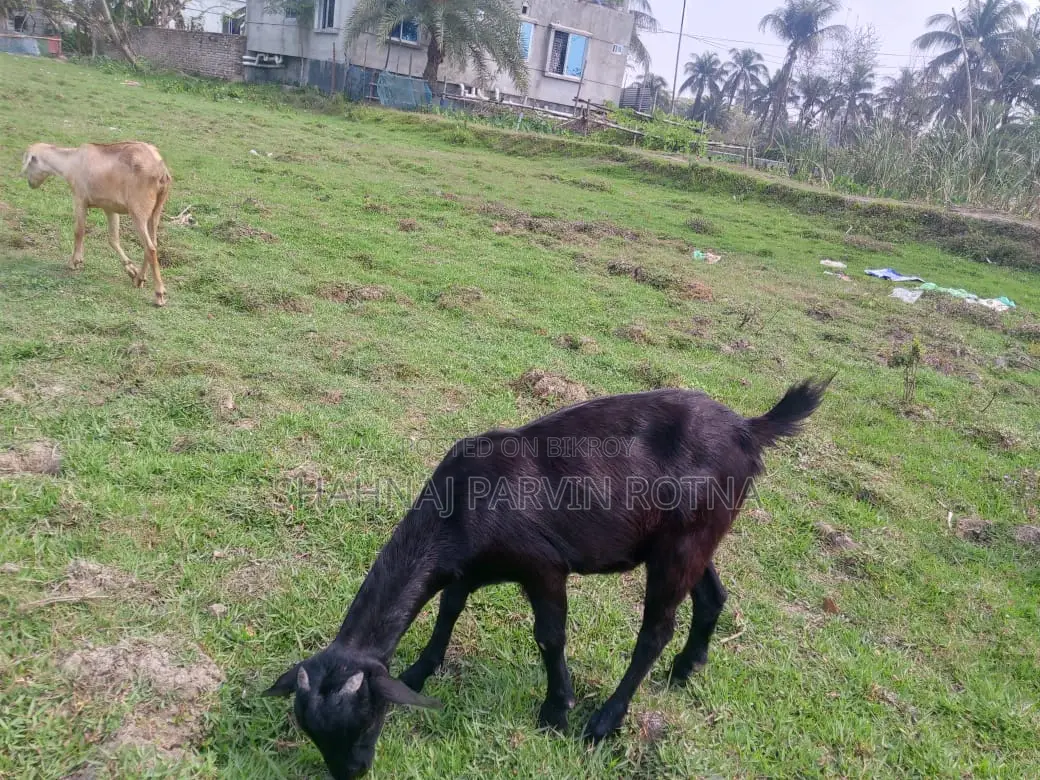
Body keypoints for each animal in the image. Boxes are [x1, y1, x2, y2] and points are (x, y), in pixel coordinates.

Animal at [21, 141, 172, 307]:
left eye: (29, 163)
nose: (30, 184)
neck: (70, 161)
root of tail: (161, 170)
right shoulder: (110, 208)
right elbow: (113, 240)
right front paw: (131, 269)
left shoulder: (80, 199)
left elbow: (79, 230)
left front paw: (75, 262)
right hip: (156, 210)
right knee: (153, 244)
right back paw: (139, 279)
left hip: (138, 211)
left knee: (150, 248)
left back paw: (159, 294)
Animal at [265, 378, 831, 779]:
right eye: (311, 731)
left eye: (366, 719)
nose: (352, 773)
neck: (461, 506)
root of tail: (749, 428)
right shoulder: (468, 567)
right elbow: (449, 608)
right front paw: (420, 670)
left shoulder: (543, 565)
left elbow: (549, 635)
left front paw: (557, 710)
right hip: (692, 536)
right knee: (713, 596)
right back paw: (686, 670)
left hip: (682, 543)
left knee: (656, 630)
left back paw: (605, 721)